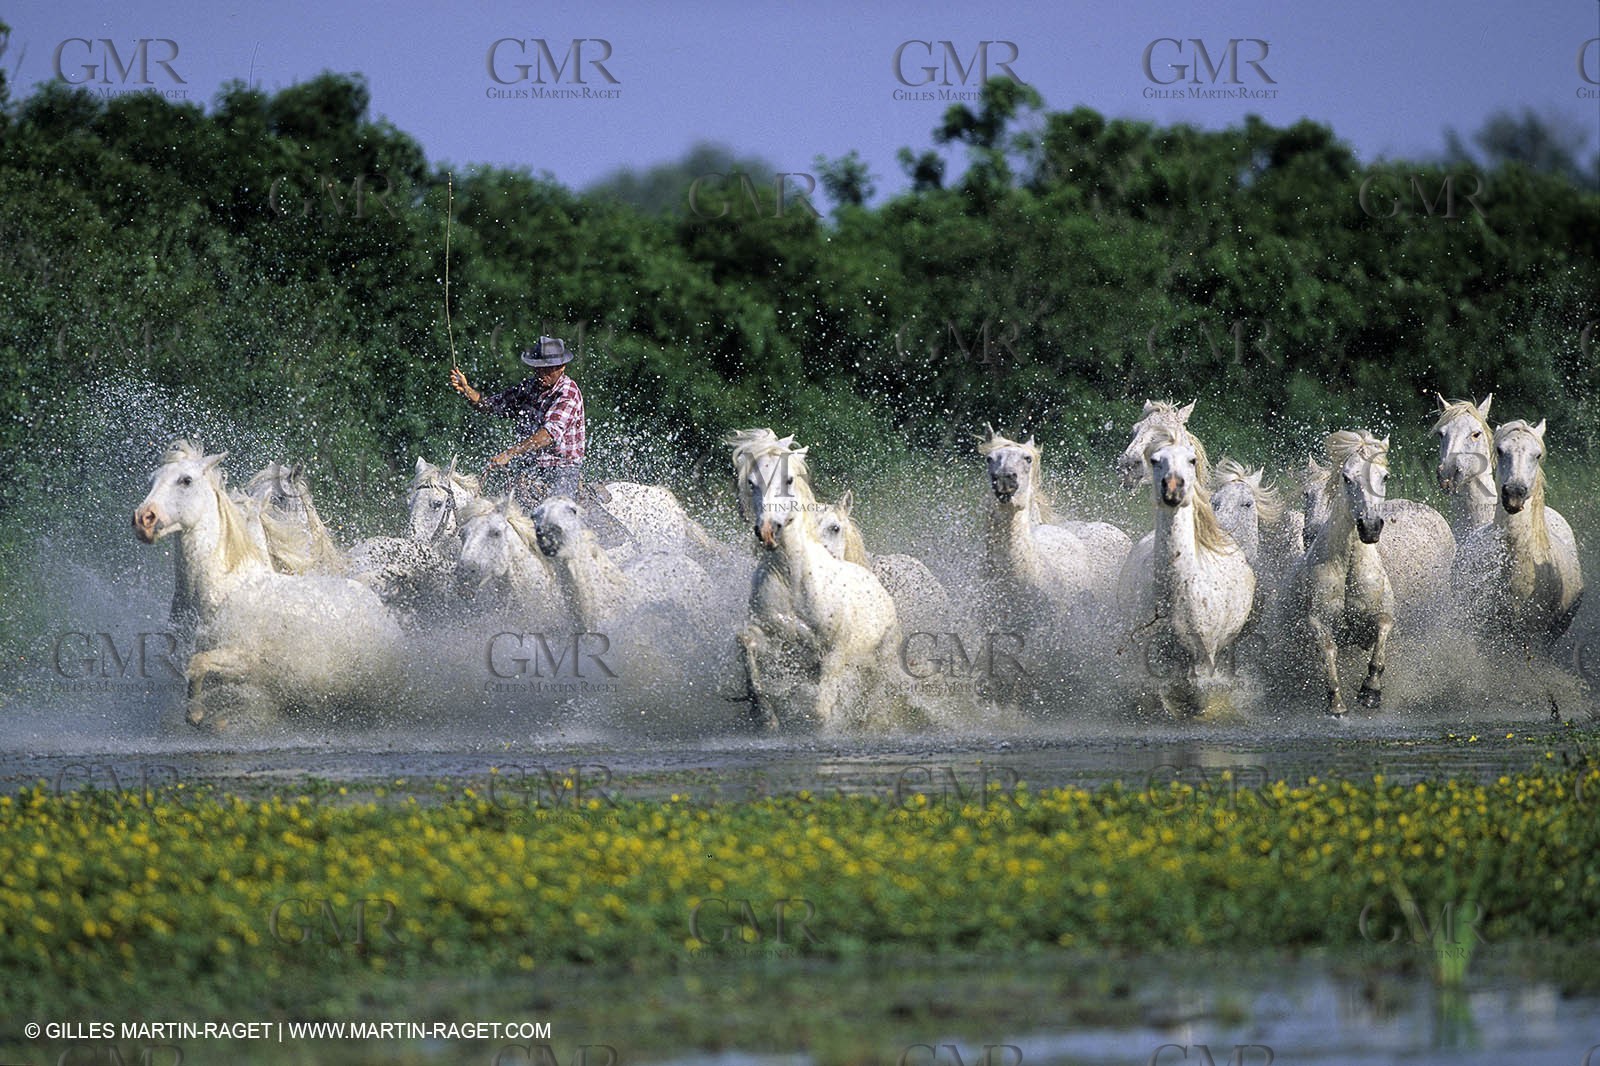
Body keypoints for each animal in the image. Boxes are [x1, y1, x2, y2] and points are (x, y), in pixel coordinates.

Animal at [131, 440, 404, 730]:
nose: (143, 519)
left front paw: (196, 715)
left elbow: (199, 664)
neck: (222, 588)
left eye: (186, 480)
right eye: (152, 480)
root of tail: (374, 601)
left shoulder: (248, 661)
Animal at [728, 428, 907, 732]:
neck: (794, 581)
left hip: (881, 657)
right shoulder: (777, 642)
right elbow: (746, 642)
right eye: (751, 482)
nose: (768, 531)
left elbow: (821, 709)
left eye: (788, 479)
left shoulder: (834, 653)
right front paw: (764, 713)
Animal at [1120, 428, 1255, 715]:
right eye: (1155, 460)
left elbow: (1199, 699)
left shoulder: (1203, 657)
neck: (1177, 592)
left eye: (1191, 460)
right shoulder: (1152, 657)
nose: (1173, 489)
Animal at [1278, 432, 1397, 718]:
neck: (1348, 565)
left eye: (1385, 476)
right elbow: (1328, 652)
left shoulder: (1380, 616)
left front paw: (1370, 692)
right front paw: (1336, 703)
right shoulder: (1318, 622)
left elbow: (1382, 634)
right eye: (1347, 477)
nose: (1370, 527)